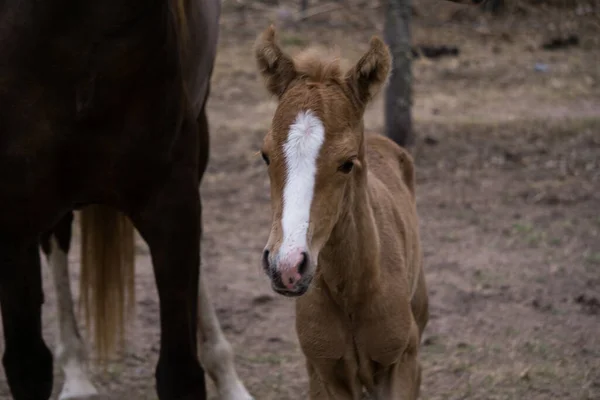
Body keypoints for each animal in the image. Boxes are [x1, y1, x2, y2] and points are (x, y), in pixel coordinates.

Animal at [0, 0, 250, 400]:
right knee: (57, 238)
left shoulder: (171, 204)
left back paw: (229, 378)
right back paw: (77, 376)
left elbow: (180, 374)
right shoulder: (11, 223)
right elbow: (27, 364)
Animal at [255, 26, 428, 398]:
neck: (354, 291)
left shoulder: (402, 362)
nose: (286, 266)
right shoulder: (324, 372)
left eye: (348, 163)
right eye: (265, 154)